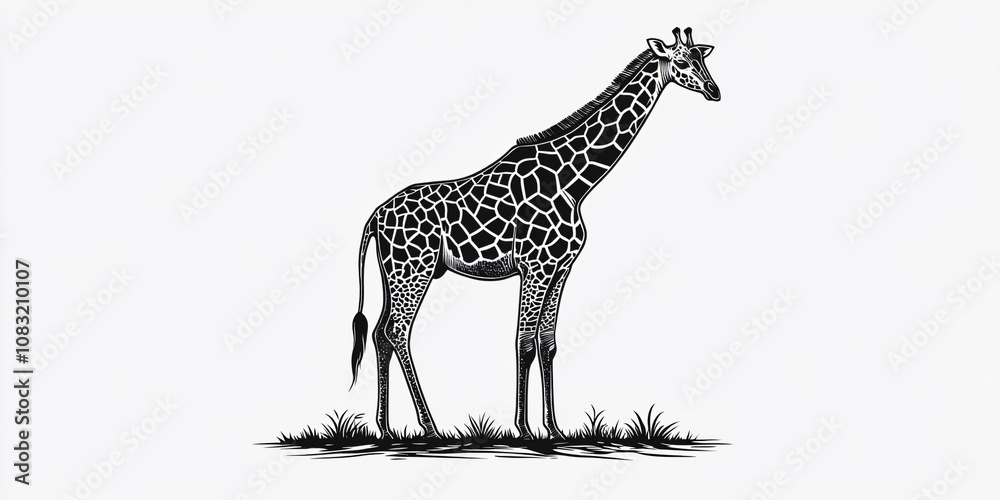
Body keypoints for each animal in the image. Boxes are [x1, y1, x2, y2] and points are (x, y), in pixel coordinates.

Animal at [349, 27, 719, 439]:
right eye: (682, 62)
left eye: (703, 60)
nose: (714, 90)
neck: (574, 183)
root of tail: (374, 218)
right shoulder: (535, 267)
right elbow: (523, 342)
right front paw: (524, 428)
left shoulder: (560, 268)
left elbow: (547, 343)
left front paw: (554, 428)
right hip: (415, 269)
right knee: (398, 331)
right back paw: (429, 426)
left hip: (395, 273)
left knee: (380, 333)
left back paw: (385, 427)